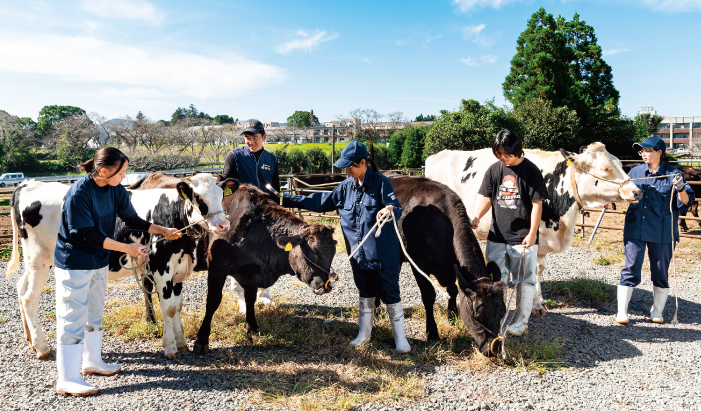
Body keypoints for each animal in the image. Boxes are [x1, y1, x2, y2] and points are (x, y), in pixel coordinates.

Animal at [6, 174, 230, 360]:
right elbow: (168, 308)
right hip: (39, 259)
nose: (223, 225)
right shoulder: (161, 267)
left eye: (221, 195)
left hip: (34, 262)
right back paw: (42, 347)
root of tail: (30, 184)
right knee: (29, 298)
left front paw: (181, 342)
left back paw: (30, 339)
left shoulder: (177, 268)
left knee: (20, 288)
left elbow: (177, 306)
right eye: (199, 198)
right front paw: (170, 347)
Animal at [424, 143, 644, 318]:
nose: (637, 191)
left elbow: (537, 270)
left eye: (620, 164)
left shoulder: (541, 240)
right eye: (605, 168)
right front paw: (535, 304)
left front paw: (538, 300)